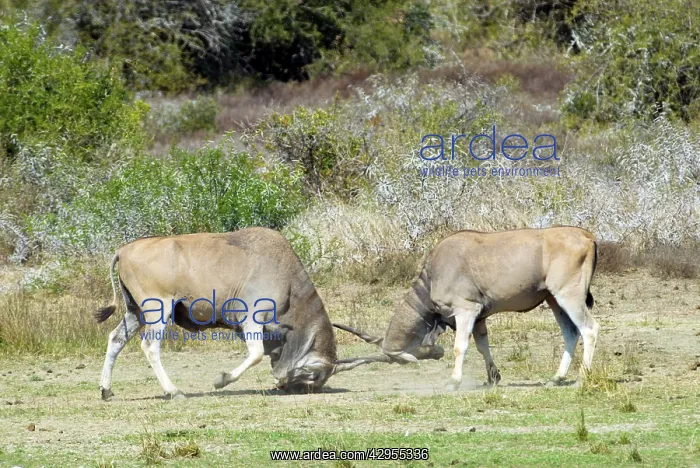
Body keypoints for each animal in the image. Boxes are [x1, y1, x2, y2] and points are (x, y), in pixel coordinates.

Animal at [95, 227, 372, 400]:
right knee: (150, 346)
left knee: (115, 339)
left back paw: (106, 390)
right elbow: (256, 354)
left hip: (135, 313)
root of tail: (123, 251)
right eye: (315, 375)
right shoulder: (251, 318)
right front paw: (221, 380)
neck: (288, 279)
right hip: (158, 310)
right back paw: (174, 391)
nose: (287, 387)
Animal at [335, 226, 600, 390]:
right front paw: (493, 378)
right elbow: (483, 346)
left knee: (589, 328)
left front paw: (453, 382)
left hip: (569, 295)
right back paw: (557, 378)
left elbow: (459, 346)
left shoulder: (466, 311)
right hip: (554, 300)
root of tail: (587, 236)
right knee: (571, 333)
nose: (436, 354)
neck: (432, 275)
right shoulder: (479, 317)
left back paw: (581, 378)